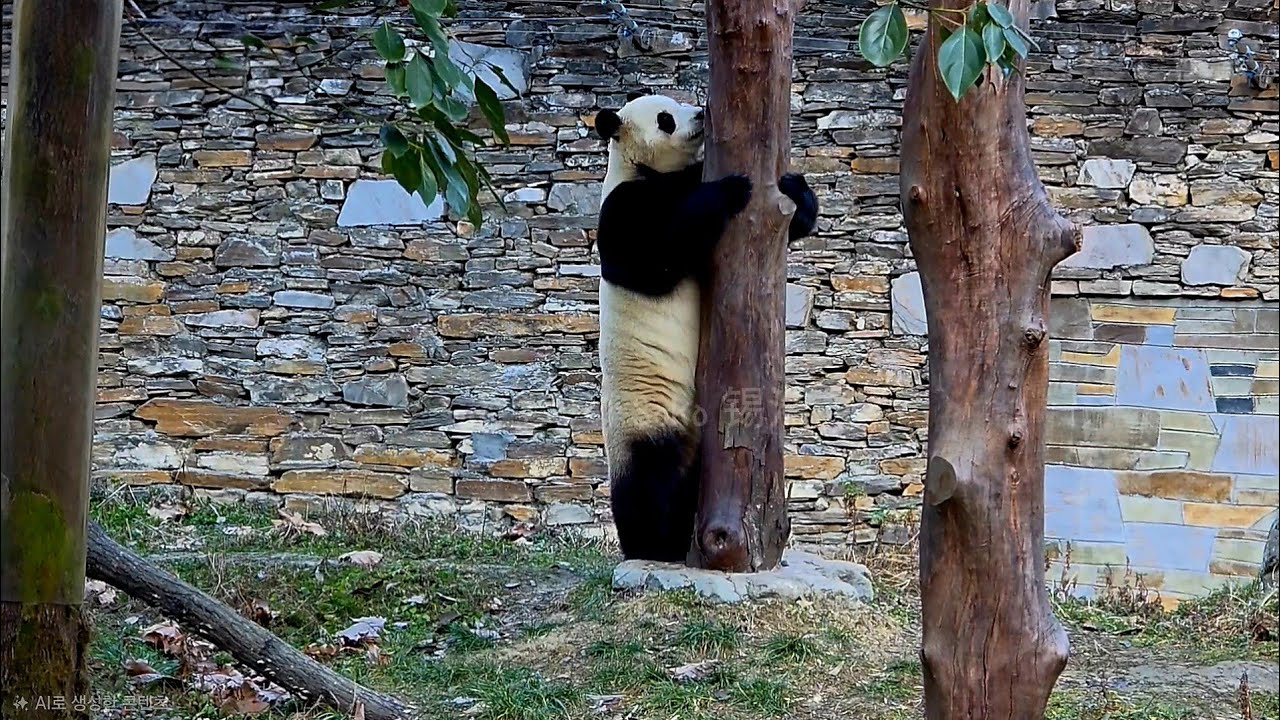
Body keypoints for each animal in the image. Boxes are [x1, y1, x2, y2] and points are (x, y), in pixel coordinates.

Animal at [592, 91, 819, 562]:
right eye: (665, 118)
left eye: (676, 100)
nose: (699, 113)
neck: (647, 171)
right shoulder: (623, 207)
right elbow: (654, 259)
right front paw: (728, 189)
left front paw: (795, 188)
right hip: (643, 421)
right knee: (650, 485)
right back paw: (653, 546)